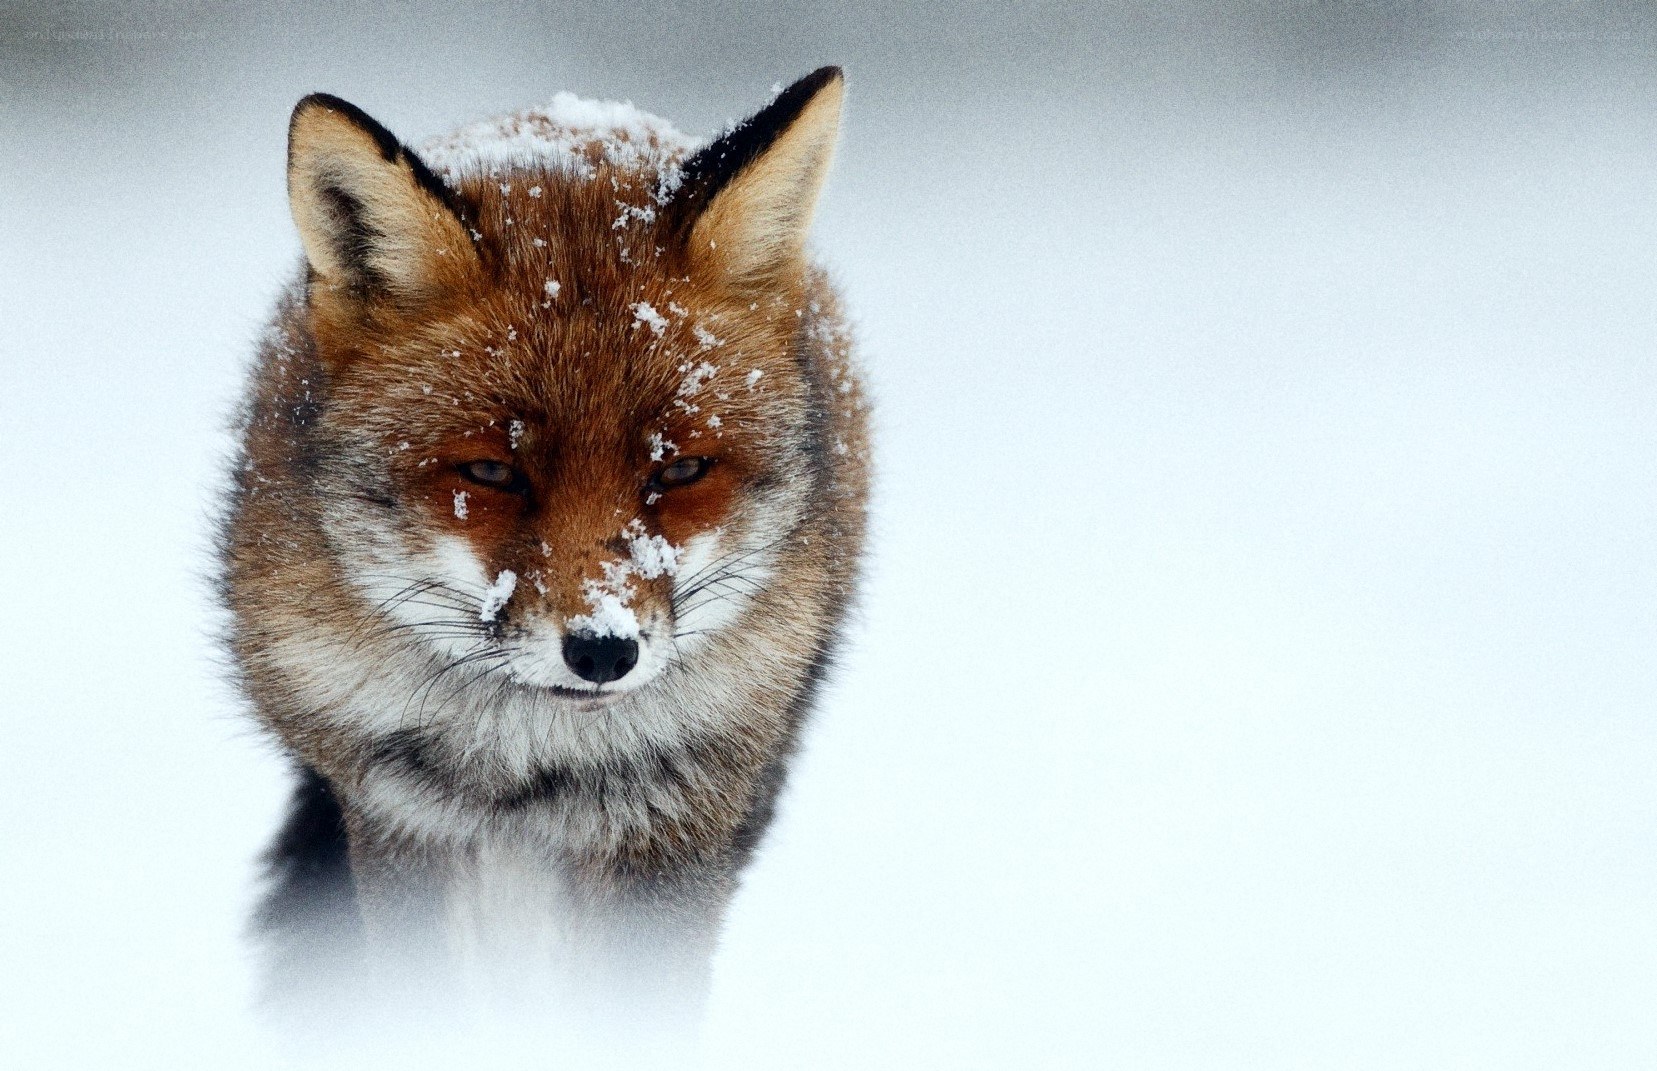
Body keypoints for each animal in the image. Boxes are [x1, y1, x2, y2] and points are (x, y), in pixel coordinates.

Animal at [218, 67, 868, 1024]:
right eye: (491, 469)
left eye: (680, 469)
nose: (602, 650)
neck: (528, 759)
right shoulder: (399, 812)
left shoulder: (672, 822)